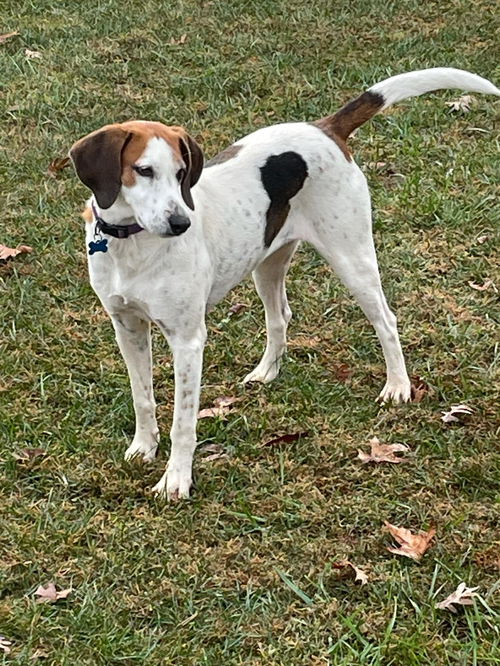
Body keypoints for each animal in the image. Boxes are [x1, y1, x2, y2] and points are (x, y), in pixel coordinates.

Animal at [68, 67, 498, 498]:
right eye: (143, 170)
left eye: (180, 174)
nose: (180, 223)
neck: (130, 243)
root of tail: (325, 128)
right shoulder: (127, 327)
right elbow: (142, 398)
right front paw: (144, 447)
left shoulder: (187, 340)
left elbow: (183, 422)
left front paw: (176, 478)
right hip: (267, 262)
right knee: (280, 316)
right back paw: (267, 372)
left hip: (352, 258)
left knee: (386, 320)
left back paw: (397, 386)